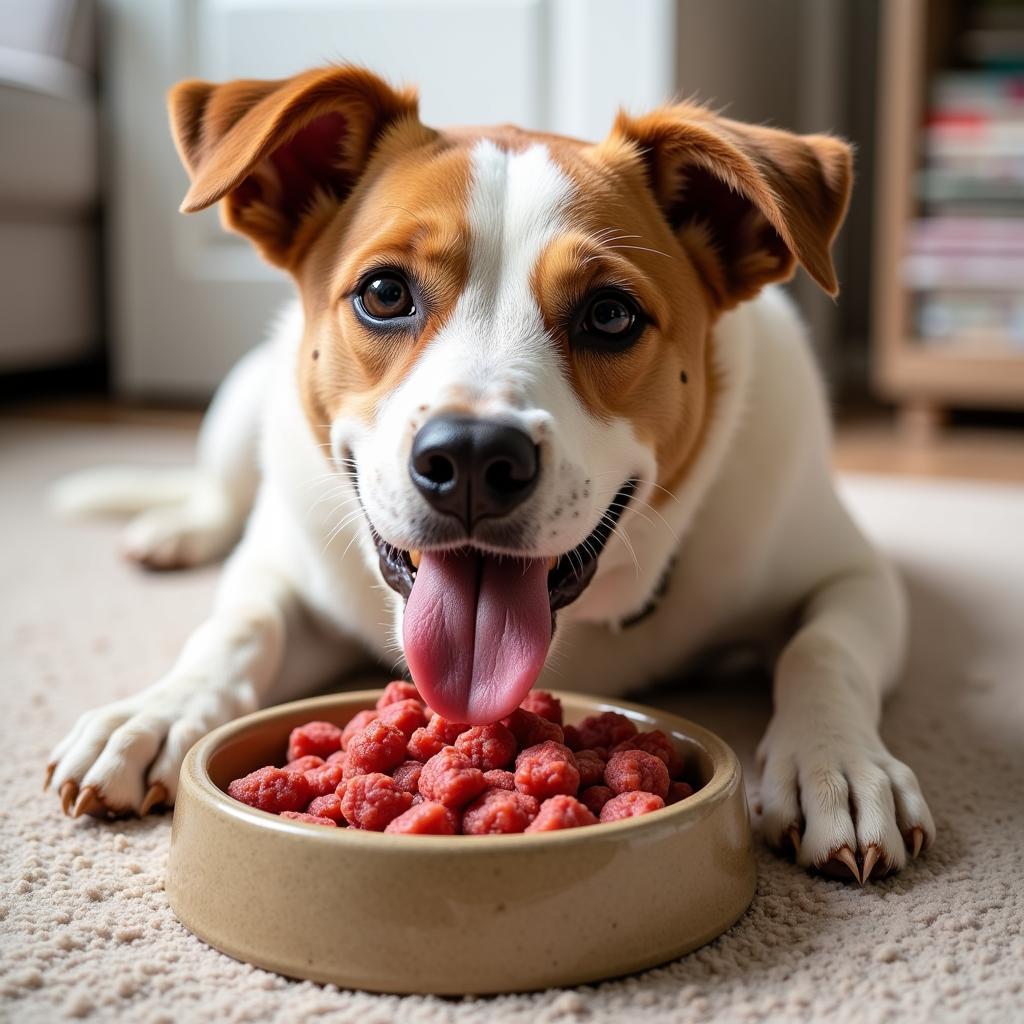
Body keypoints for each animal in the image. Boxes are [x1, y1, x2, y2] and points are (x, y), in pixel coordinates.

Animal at [46, 64, 937, 880]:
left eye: (610, 314)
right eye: (383, 292)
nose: (472, 457)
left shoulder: (853, 576)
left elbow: (822, 651)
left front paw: (837, 762)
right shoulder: (287, 568)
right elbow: (236, 628)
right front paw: (157, 714)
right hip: (240, 400)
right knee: (216, 492)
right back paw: (175, 530)